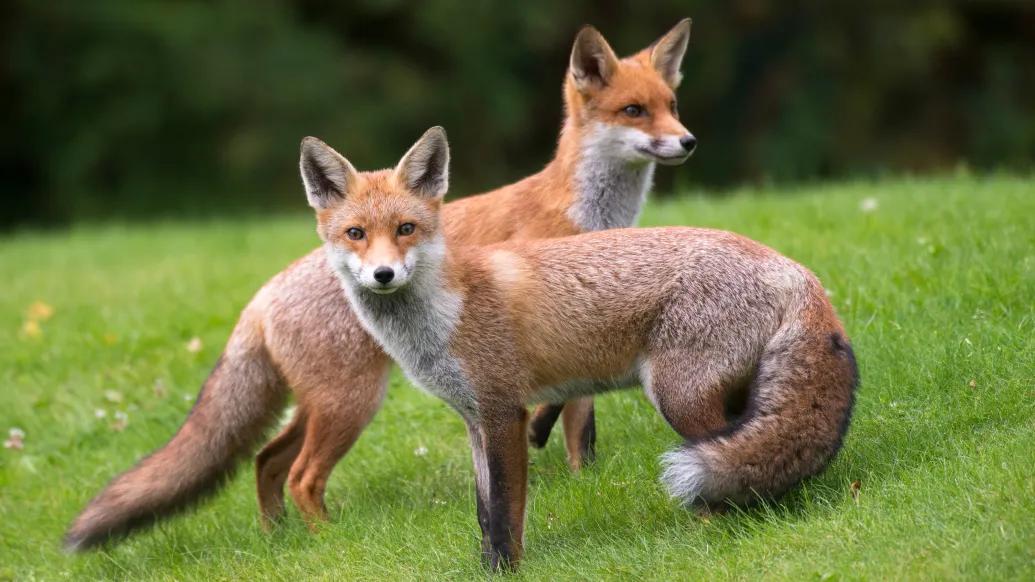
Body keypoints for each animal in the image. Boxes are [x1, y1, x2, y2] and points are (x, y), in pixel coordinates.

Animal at [63, 20, 698, 550]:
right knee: (301, 475)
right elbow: (564, 414)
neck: (585, 213)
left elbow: (580, 424)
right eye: (634, 110)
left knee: (266, 460)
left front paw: (581, 477)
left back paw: (276, 541)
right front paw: (556, 461)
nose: (688, 141)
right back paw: (325, 542)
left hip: (323, 404)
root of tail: (263, 293)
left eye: (670, 106)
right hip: (351, 402)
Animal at [302, 127, 858, 570]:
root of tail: (794, 270)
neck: (446, 310)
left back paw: (709, 533)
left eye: (406, 229)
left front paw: (504, 570)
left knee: (724, 477)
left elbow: (504, 511)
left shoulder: (504, 412)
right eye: (355, 233)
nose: (383, 274)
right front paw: (484, 566)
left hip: (680, 399)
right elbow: (483, 511)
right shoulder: (474, 418)